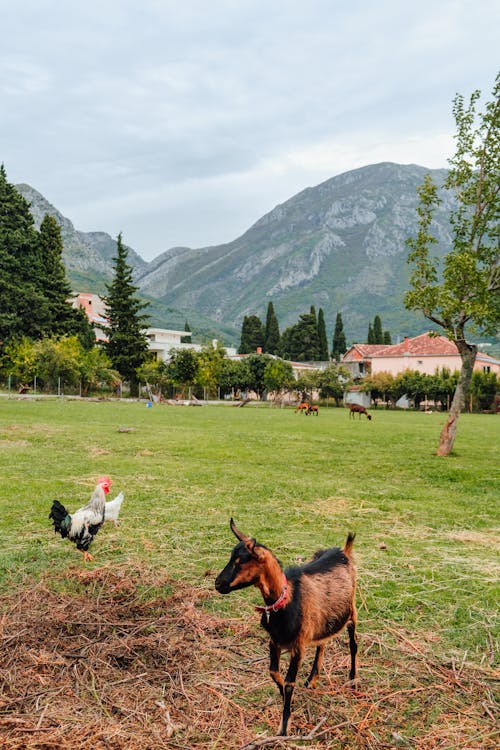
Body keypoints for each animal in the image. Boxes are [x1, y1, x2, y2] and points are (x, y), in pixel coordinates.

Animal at [213, 520, 358, 736]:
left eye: (240, 561)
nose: (218, 583)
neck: (284, 600)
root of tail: (344, 551)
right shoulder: (274, 641)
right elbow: (273, 673)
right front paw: (282, 695)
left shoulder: (298, 646)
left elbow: (290, 683)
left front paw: (284, 726)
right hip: (323, 619)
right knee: (322, 643)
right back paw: (312, 680)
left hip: (352, 612)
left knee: (353, 644)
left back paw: (353, 681)